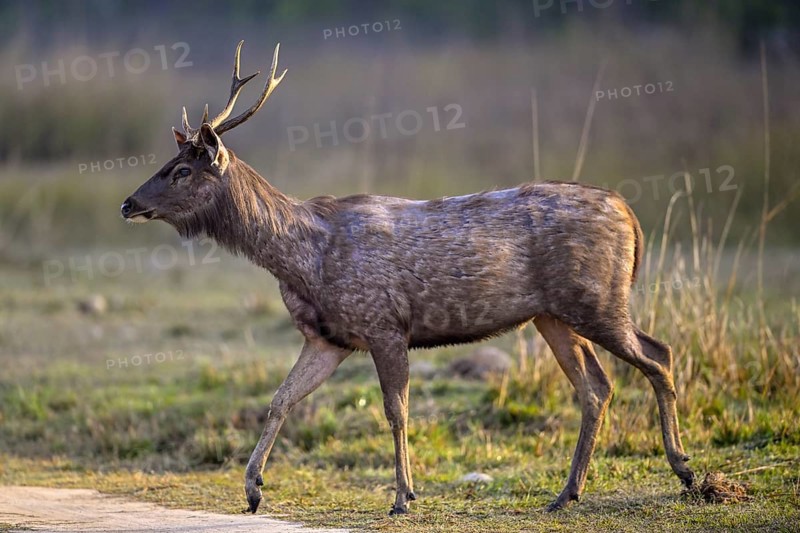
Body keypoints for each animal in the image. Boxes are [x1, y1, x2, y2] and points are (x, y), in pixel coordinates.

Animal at [121, 40, 696, 516]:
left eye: (182, 170)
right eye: (170, 162)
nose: (127, 203)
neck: (305, 260)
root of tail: (628, 213)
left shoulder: (385, 324)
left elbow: (395, 411)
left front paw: (402, 497)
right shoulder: (329, 337)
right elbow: (282, 398)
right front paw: (252, 490)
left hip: (597, 298)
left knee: (659, 354)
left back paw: (684, 470)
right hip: (552, 315)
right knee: (597, 387)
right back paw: (567, 493)